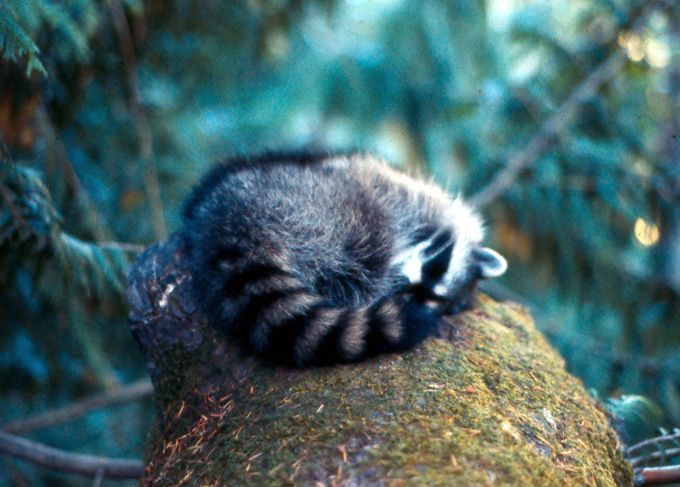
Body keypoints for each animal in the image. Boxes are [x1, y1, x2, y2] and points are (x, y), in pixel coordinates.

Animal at [181, 152, 507, 366]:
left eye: (427, 296)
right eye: (435, 266)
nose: (401, 284)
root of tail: (234, 220)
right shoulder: (403, 198)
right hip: (317, 211)